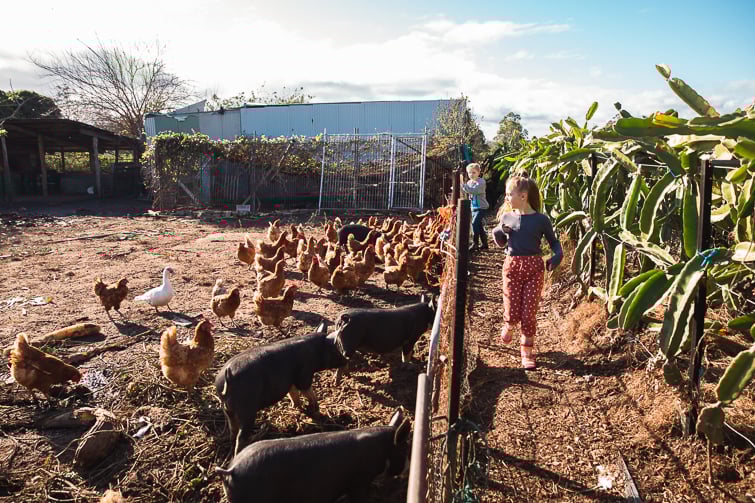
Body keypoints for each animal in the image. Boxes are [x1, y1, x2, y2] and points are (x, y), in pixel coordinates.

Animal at [215, 321, 347, 455]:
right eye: (336, 349)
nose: (346, 360)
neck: (316, 351)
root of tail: (228, 378)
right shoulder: (303, 376)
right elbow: (309, 393)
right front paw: (316, 412)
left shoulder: (291, 381)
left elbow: (293, 394)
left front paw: (296, 407)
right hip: (247, 410)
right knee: (241, 437)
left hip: (227, 410)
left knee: (233, 430)